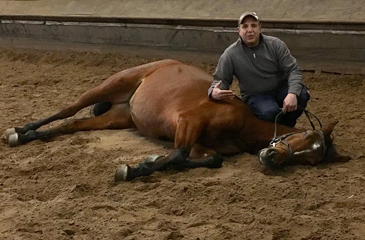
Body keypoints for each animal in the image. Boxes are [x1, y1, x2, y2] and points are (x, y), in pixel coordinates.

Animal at [3, 59, 350, 180]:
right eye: (303, 137)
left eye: (310, 160)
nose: (271, 157)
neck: (242, 123)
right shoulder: (188, 123)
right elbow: (179, 154)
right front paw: (133, 169)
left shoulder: (200, 144)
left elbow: (209, 160)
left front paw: (151, 160)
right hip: (111, 85)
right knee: (66, 111)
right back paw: (19, 131)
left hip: (119, 116)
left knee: (71, 125)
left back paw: (28, 136)